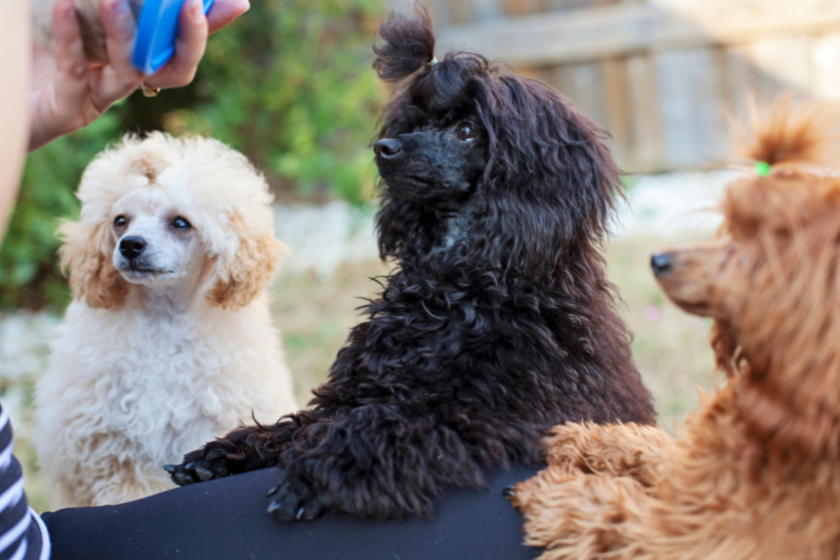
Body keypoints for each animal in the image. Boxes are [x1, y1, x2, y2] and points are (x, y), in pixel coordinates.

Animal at [508, 101, 840, 560]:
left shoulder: (703, 536)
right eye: (730, 227)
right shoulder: (697, 471)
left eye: (754, 252)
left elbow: (612, 512)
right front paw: (586, 437)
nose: (658, 259)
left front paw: (551, 491)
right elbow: (654, 447)